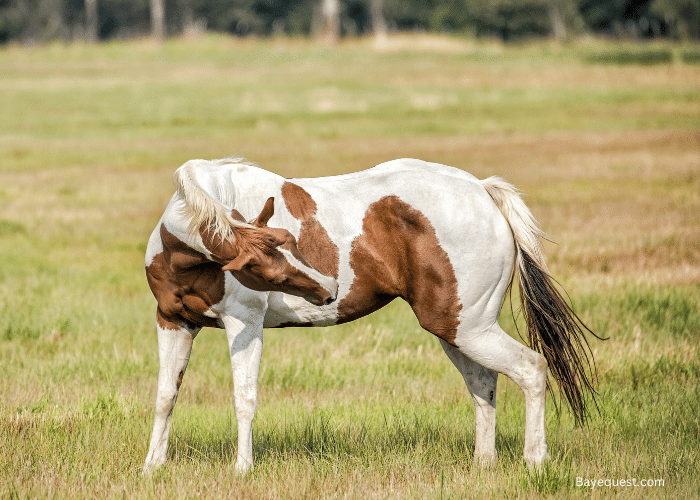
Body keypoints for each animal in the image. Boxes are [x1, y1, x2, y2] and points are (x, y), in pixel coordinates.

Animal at [142, 157, 598, 474]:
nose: (329, 290)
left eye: (292, 242)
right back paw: (483, 464)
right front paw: (152, 467)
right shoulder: (174, 321)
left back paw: (535, 460)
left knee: (531, 368)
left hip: (471, 329)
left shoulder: (245, 324)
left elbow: (244, 397)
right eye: (260, 264)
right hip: (455, 331)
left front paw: (242, 469)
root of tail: (482, 191)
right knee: (483, 384)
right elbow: (165, 397)